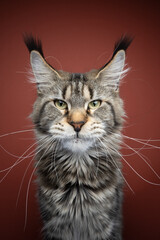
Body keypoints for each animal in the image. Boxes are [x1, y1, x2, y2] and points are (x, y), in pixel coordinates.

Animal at [23, 35, 131, 240]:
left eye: (95, 104)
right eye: (60, 104)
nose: (77, 124)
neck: (78, 183)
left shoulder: (107, 225)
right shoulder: (55, 226)